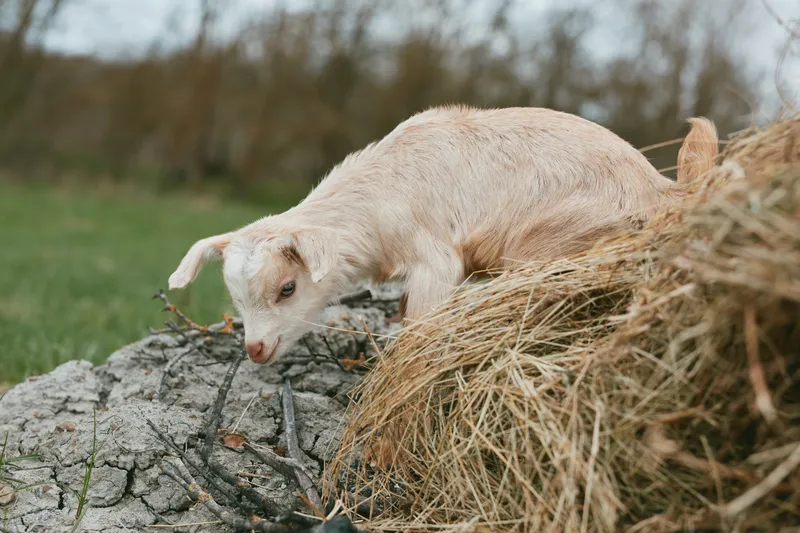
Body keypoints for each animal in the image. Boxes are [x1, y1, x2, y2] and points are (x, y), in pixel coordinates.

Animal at [167, 106, 719, 363]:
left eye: (288, 287)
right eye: (236, 297)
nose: (256, 350)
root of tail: (664, 190)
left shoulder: (434, 262)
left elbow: (418, 327)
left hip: (554, 242)